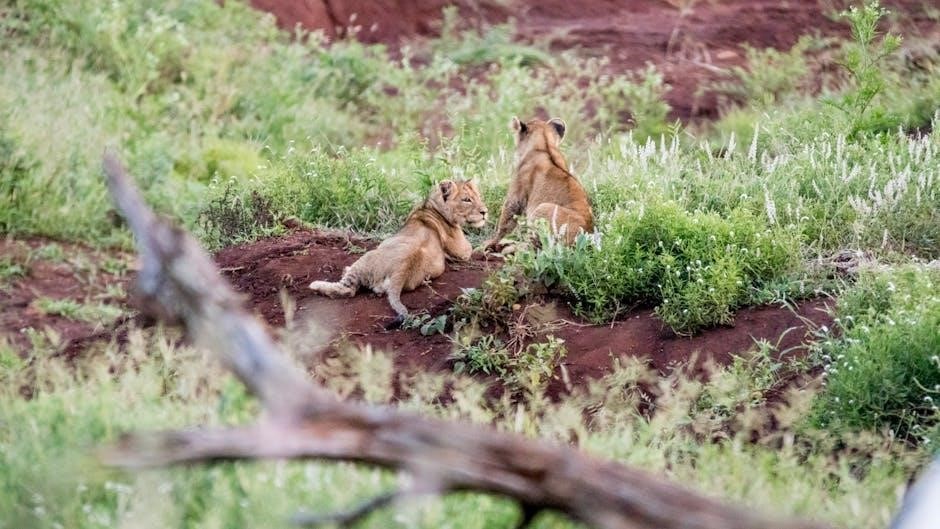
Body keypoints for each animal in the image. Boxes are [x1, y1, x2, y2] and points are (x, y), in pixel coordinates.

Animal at [309, 180, 487, 327]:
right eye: (467, 199)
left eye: (478, 197)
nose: (485, 212)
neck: (431, 206)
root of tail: (402, 268)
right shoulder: (461, 249)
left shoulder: (463, 250)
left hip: (367, 257)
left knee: (347, 289)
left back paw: (318, 284)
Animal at [484, 116, 594, 252]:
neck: (544, 145)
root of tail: (587, 239)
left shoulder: (516, 197)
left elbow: (506, 221)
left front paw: (491, 243)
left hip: (543, 208)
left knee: (533, 247)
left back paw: (507, 247)